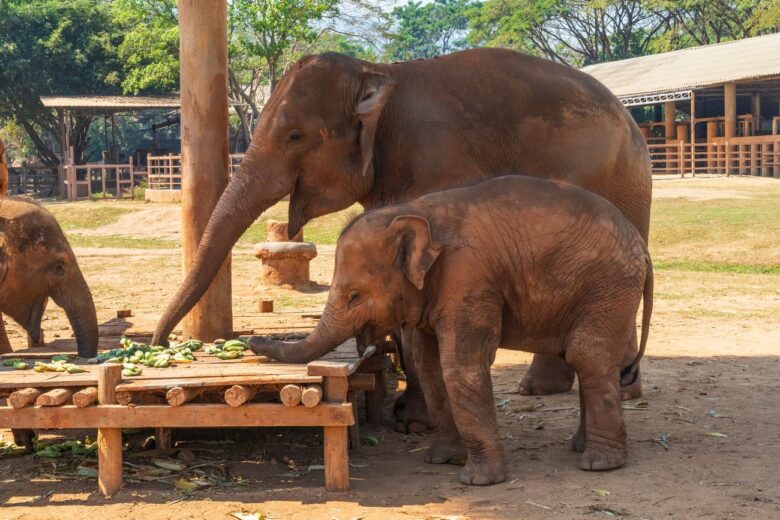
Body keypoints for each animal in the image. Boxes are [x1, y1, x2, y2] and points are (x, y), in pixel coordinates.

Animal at [151, 48, 652, 432]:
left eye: (295, 135)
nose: (159, 342)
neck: (377, 72)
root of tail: (632, 122)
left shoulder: (439, 158)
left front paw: (414, 421)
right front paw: (409, 414)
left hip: (624, 185)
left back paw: (622, 388)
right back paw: (547, 388)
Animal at [249, 175, 653, 485]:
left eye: (355, 295)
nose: (250, 340)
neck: (412, 211)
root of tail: (641, 246)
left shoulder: (468, 278)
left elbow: (460, 365)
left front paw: (478, 481)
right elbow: (428, 364)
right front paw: (440, 459)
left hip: (608, 288)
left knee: (587, 354)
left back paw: (599, 464)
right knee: (587, 357)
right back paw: (582, 448)